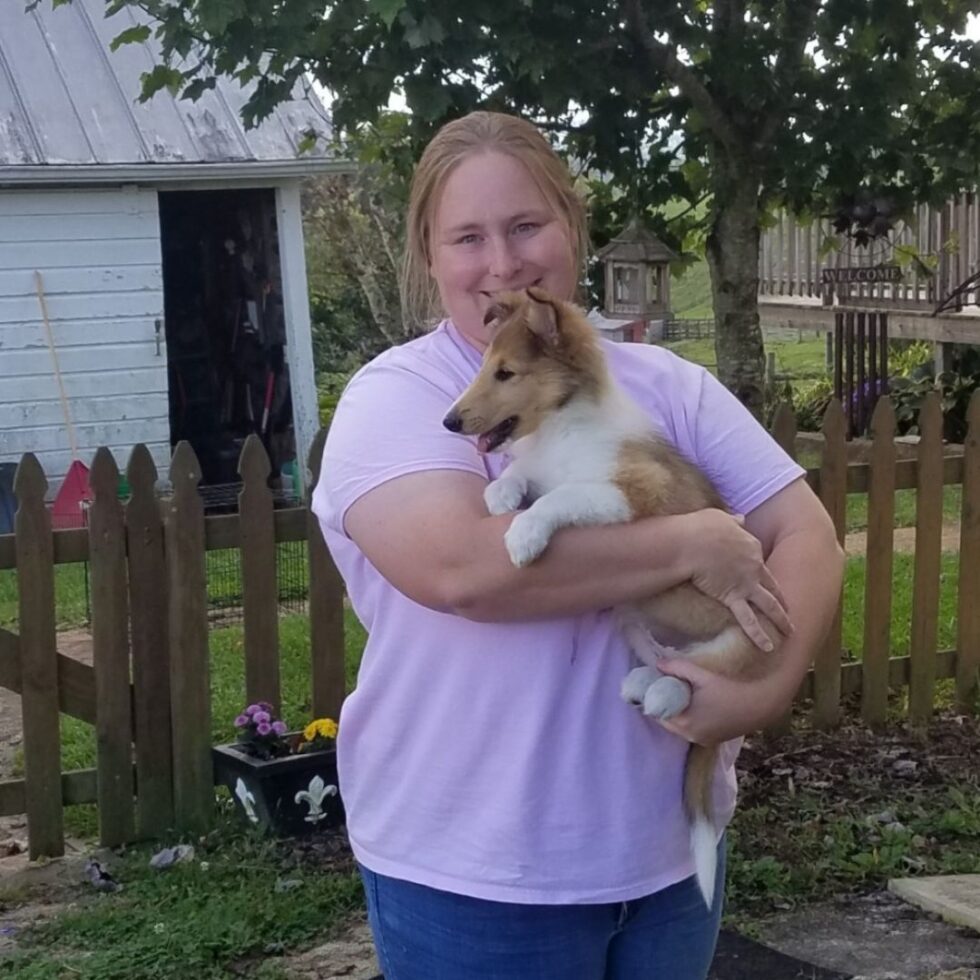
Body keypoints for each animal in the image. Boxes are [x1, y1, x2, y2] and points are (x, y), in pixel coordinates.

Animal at [444, 284, 780, 904]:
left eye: (506, 372)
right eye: (484, 366)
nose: (450, 420)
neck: (563, 430)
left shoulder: (628, 493)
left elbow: (562, 496)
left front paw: (523, 536)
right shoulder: (544, 468)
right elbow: (524, 477)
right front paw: (500, 497)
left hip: (743, 639)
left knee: (703, 676)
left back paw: (665, 694)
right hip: (632, 618)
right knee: (667, 658)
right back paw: (643, 681)